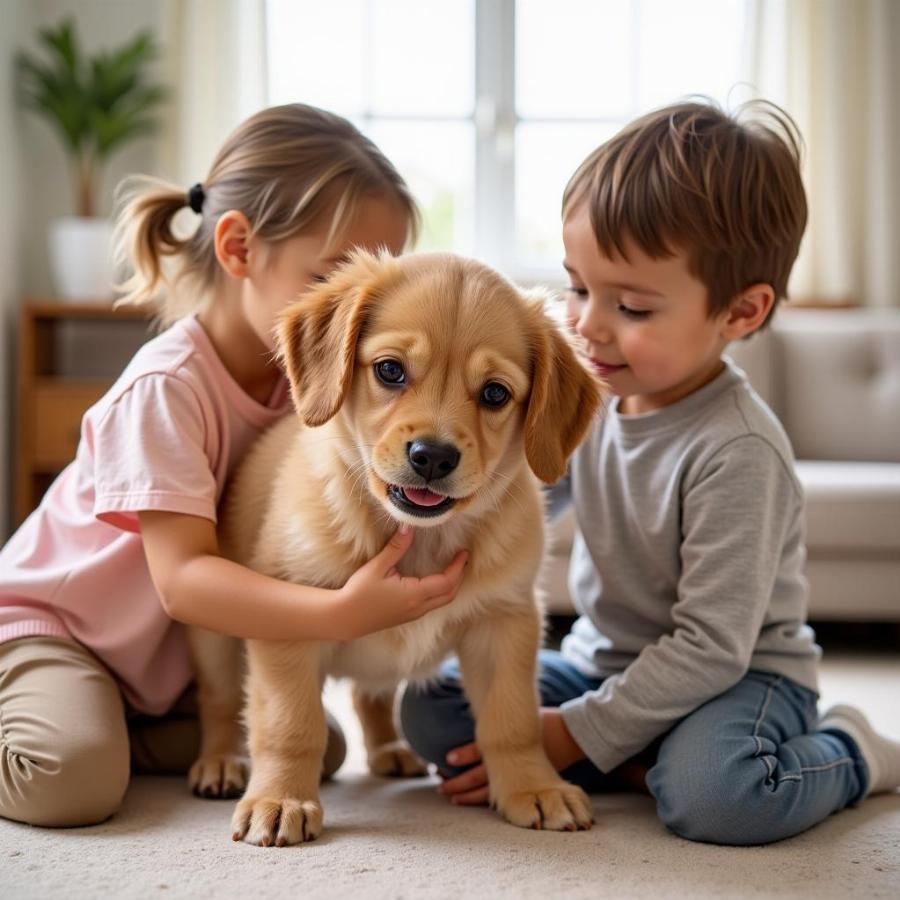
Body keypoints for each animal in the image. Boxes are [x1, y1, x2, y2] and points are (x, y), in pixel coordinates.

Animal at [197, 251, 604, 844]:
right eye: (390, 370)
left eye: (495, 394)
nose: (431, 456)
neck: (418, 537)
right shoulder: (286, 621)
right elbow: (290, 724)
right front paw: (280, 799)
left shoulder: (505, 623)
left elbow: (512, 720)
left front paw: (533, 787)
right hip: (216, 642)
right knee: (222, 700)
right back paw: (221, 762)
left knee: (370, 695)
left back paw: (390, 749)